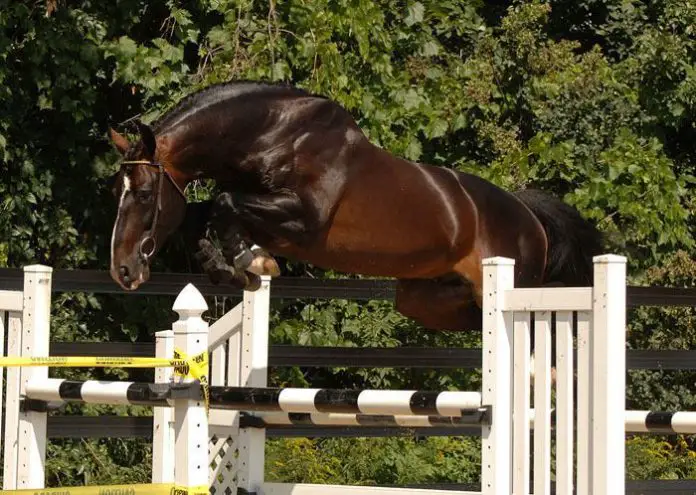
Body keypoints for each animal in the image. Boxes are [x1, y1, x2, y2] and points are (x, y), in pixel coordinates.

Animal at [107, 80, 602, 332]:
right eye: (118, 190)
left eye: (145, 194)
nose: (123, 271)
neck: (273, 134)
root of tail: (527, 215)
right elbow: (203, 214)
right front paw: (233, 266)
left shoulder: (303, 219)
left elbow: (223, 205)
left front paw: (253, 262)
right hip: (422, 298)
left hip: (511, 277)